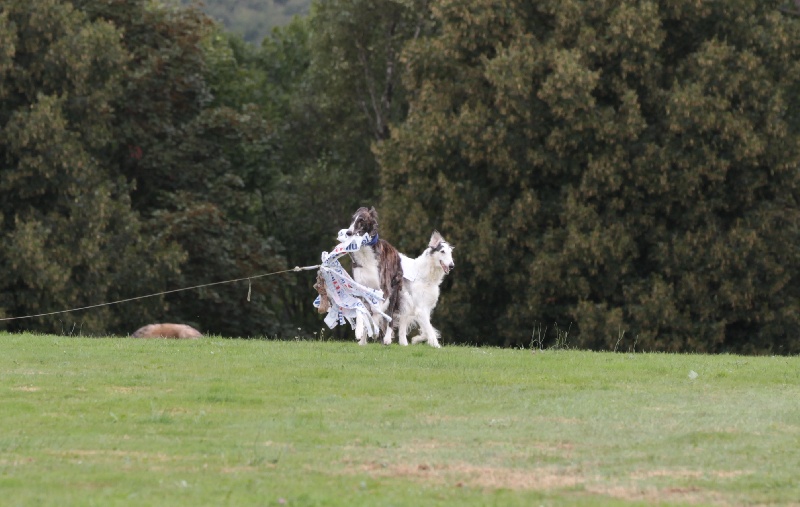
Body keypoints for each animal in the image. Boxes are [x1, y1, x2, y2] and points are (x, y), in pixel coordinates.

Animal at [344, 207, 404, 345]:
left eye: (361, 220)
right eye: (352, 219)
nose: (348, 232)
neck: (365, 252)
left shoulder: (384, 289)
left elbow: (377, 312)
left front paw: (376, 330)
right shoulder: (360, 288)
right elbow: (361, 310)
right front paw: (359, 332)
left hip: (394, 291)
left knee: (390, 317)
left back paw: (386, 338)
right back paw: (363, 340)